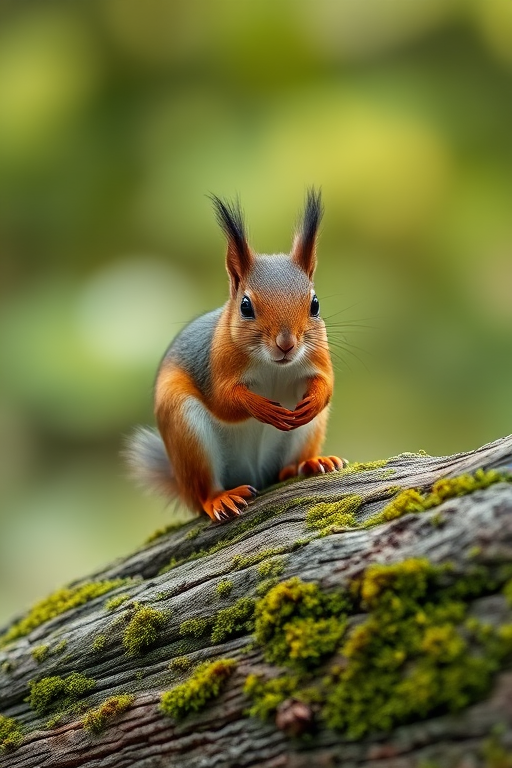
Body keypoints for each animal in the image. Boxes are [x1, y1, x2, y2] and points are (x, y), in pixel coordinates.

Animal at [127, 189, 345, 522]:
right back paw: (220, 498)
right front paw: (262, 408)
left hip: (308, 432)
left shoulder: (317, 357)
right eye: (245, 306)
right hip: (184, 426)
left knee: (286, 468)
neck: (273, 365)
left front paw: (316, 398)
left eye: (315, 304)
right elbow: (225, 401)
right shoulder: (215, 367)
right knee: (204, 491)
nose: (286, 344)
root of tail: (253, 474)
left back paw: (309, 464)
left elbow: (327, 383)